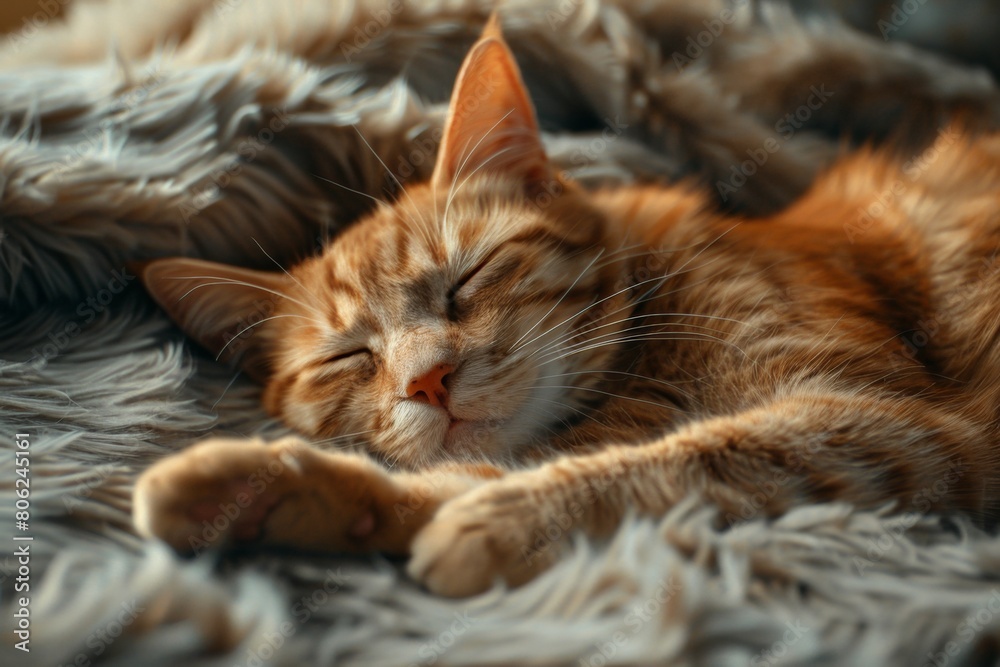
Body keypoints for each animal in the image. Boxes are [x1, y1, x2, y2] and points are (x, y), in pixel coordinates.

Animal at [131, 18, 1000, 596]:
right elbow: (469, 473)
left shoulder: (891, 421)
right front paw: (252, 490)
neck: (641, 363)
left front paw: (512, 520)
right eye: (350, 356)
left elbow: (701, 456)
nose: (427, 382)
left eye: (467, 280)